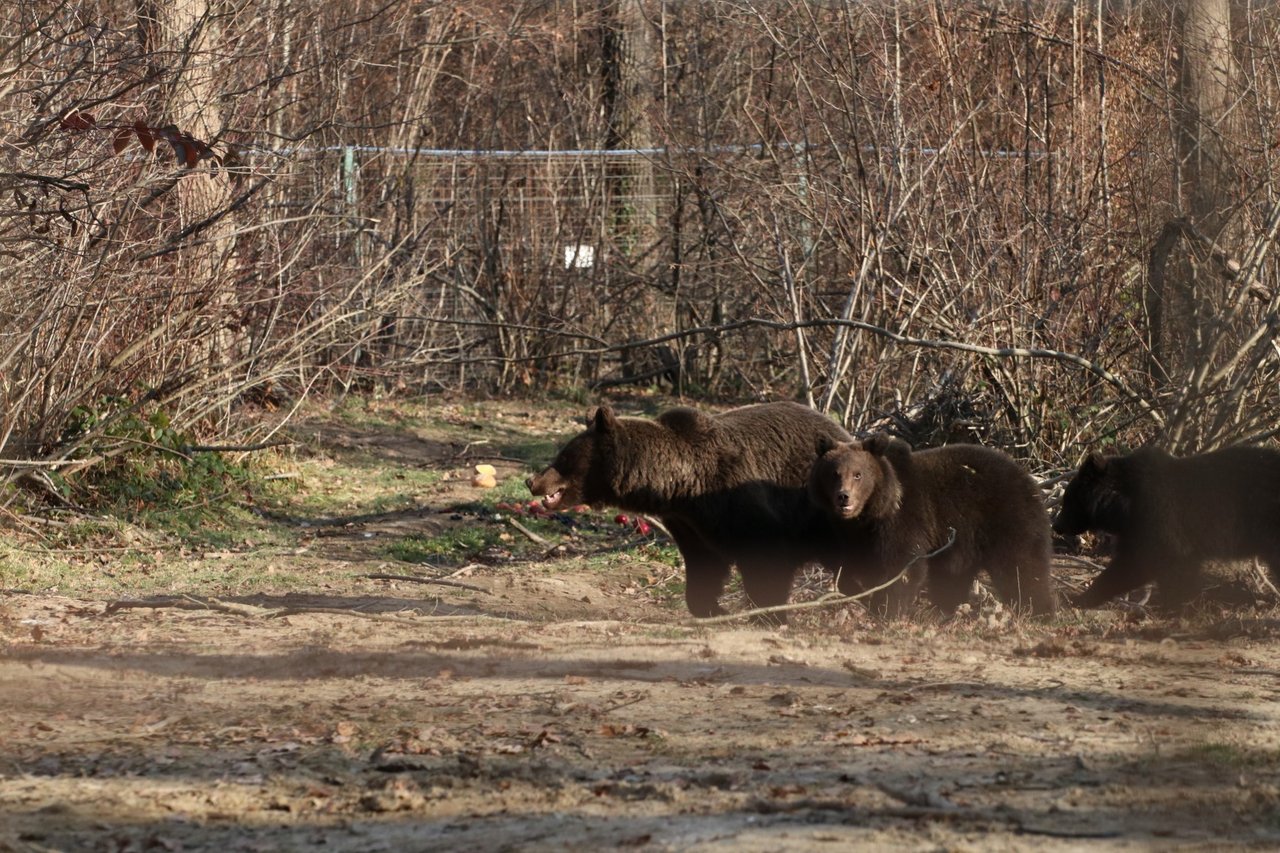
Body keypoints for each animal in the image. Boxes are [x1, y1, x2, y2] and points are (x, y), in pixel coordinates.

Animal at [524, 402, 855, 614]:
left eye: (563, 457)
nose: (531, 480)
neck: (684, 486)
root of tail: (848, 435)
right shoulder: (689, 523)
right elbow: (704, 566)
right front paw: (712, 607)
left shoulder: (744, 504)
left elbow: (766, 561)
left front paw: (767, 609)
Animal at [803, 435, 1054, 614]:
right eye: (834, 473)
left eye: (858, 474)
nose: (843, 497)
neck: (871, 514)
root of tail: (1030, 480)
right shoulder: (855, 536)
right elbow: (857, 566)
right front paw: (865, 595)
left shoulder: (904, 519)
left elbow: (902, 566)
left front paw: (889, 608)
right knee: (953, 575)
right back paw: (945, 608)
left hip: (1008, 518)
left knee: (1022, 566)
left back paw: (1039, 610)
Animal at [1054, 445, 1280, 604]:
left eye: (1067, 501)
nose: (1056, 526)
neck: (1122, 504)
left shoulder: (1158, 516)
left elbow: (1148, 558)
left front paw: (1080, 599)